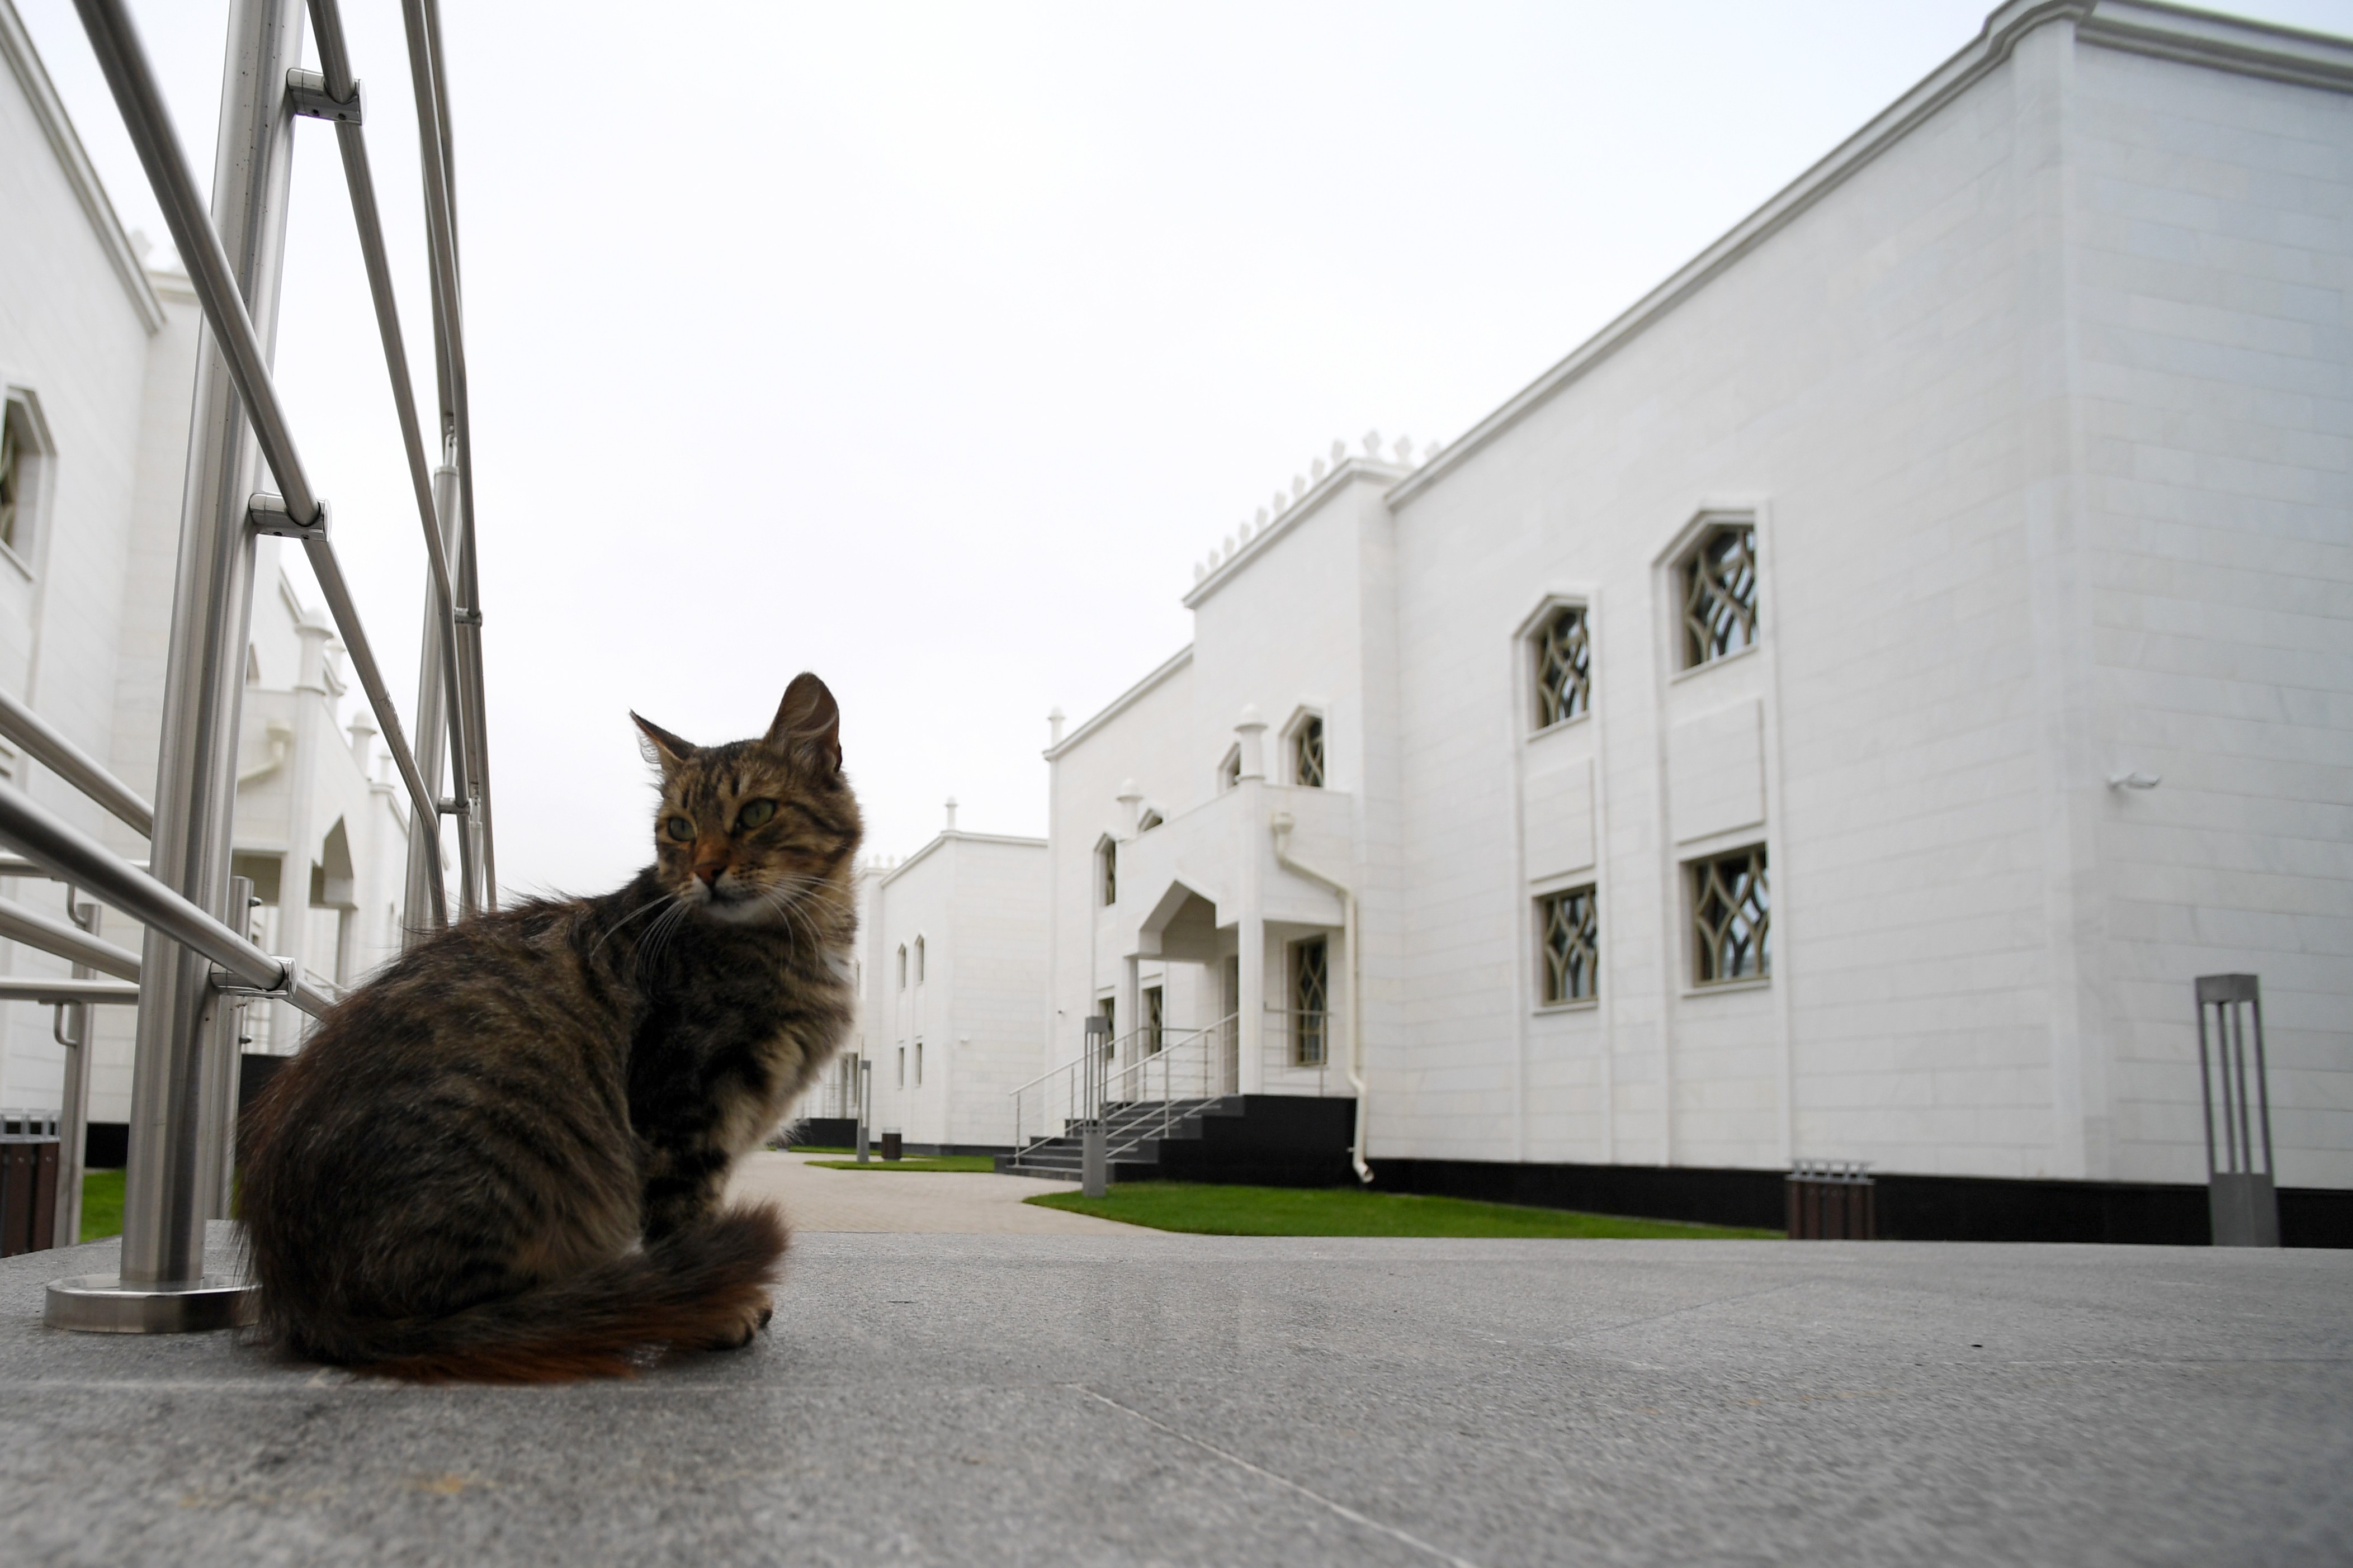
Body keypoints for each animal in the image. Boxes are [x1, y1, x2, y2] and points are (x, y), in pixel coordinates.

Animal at [241, 677, 866, 1382]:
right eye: (678, 828)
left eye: (756, 813)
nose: (705, 871)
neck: (801, 937)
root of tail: (303, 1300)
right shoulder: (683, 1109)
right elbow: (685, 1221)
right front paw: (716, 1309)